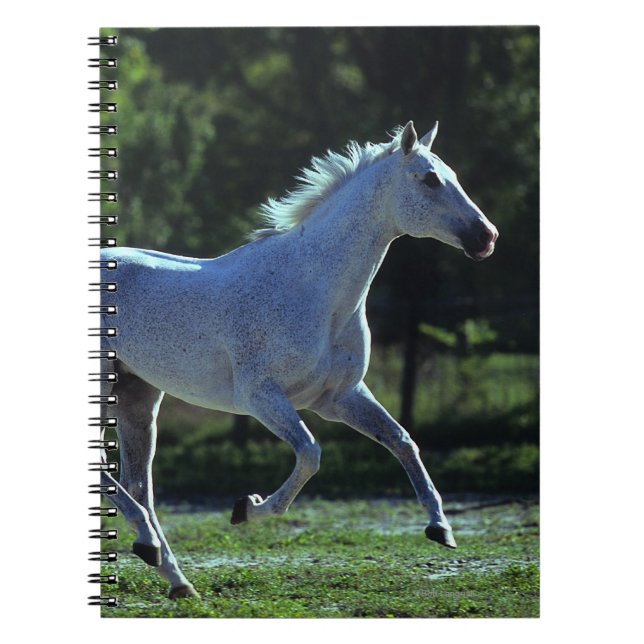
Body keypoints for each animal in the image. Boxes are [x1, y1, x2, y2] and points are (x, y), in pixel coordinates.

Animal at [99, 121, 498, 599]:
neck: (313, 290)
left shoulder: (339, 397)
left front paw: (441, 529)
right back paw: (150, 546)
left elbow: (402, 441)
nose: (487, 237)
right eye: (431, 179)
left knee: (139, 485)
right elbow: (310, 453)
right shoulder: (261, 397)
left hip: (138, 400)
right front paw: (246, 508)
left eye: (452, 175)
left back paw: (175, 577)